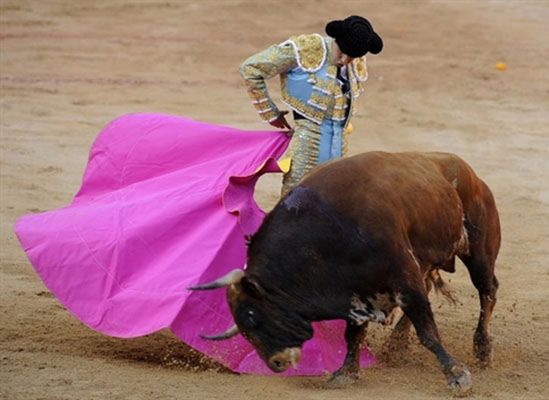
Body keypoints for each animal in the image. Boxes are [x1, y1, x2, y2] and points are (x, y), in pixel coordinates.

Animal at [189, 152, 500, 392]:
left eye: (252, 314)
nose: (275, 363)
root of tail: (468, 172)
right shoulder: (357, 292)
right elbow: (353, 335)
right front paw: (346, 373)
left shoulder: (403, 277)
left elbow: (428, 331)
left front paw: (457, 375)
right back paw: (397, 345)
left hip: (479, 251)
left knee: (487, 290)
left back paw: (483, 348)